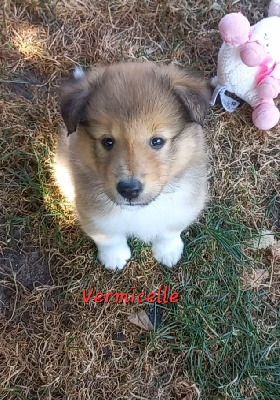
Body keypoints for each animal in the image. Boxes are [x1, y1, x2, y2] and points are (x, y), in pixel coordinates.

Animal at [55, 61, 210, 268]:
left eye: (157, 141)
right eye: (107, 141)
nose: (129, 190)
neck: (140, 211)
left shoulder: (185, 205)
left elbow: (169, 231)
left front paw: (167, 251)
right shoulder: (92, 213)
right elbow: (108, 238)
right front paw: (114, 257)